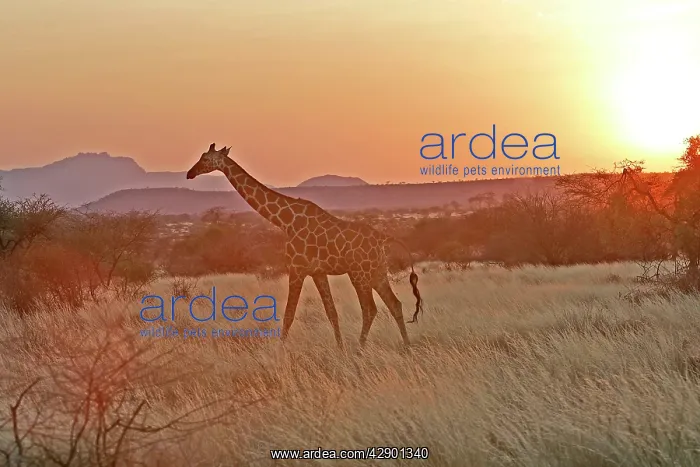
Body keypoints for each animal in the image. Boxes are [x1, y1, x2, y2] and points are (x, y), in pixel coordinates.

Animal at [186, 143, 424, 347]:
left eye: (205, 158)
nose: (190, 173)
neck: (286, 221)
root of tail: (383, 238)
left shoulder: (297, 268)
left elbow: (289, 314)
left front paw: (280, 352)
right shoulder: (317, 272)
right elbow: (331, 312)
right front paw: (340, 349)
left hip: (360, 273)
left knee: (370, 309)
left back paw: (360, 348)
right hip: (377, 271)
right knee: (394, 304)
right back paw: (406, 346)